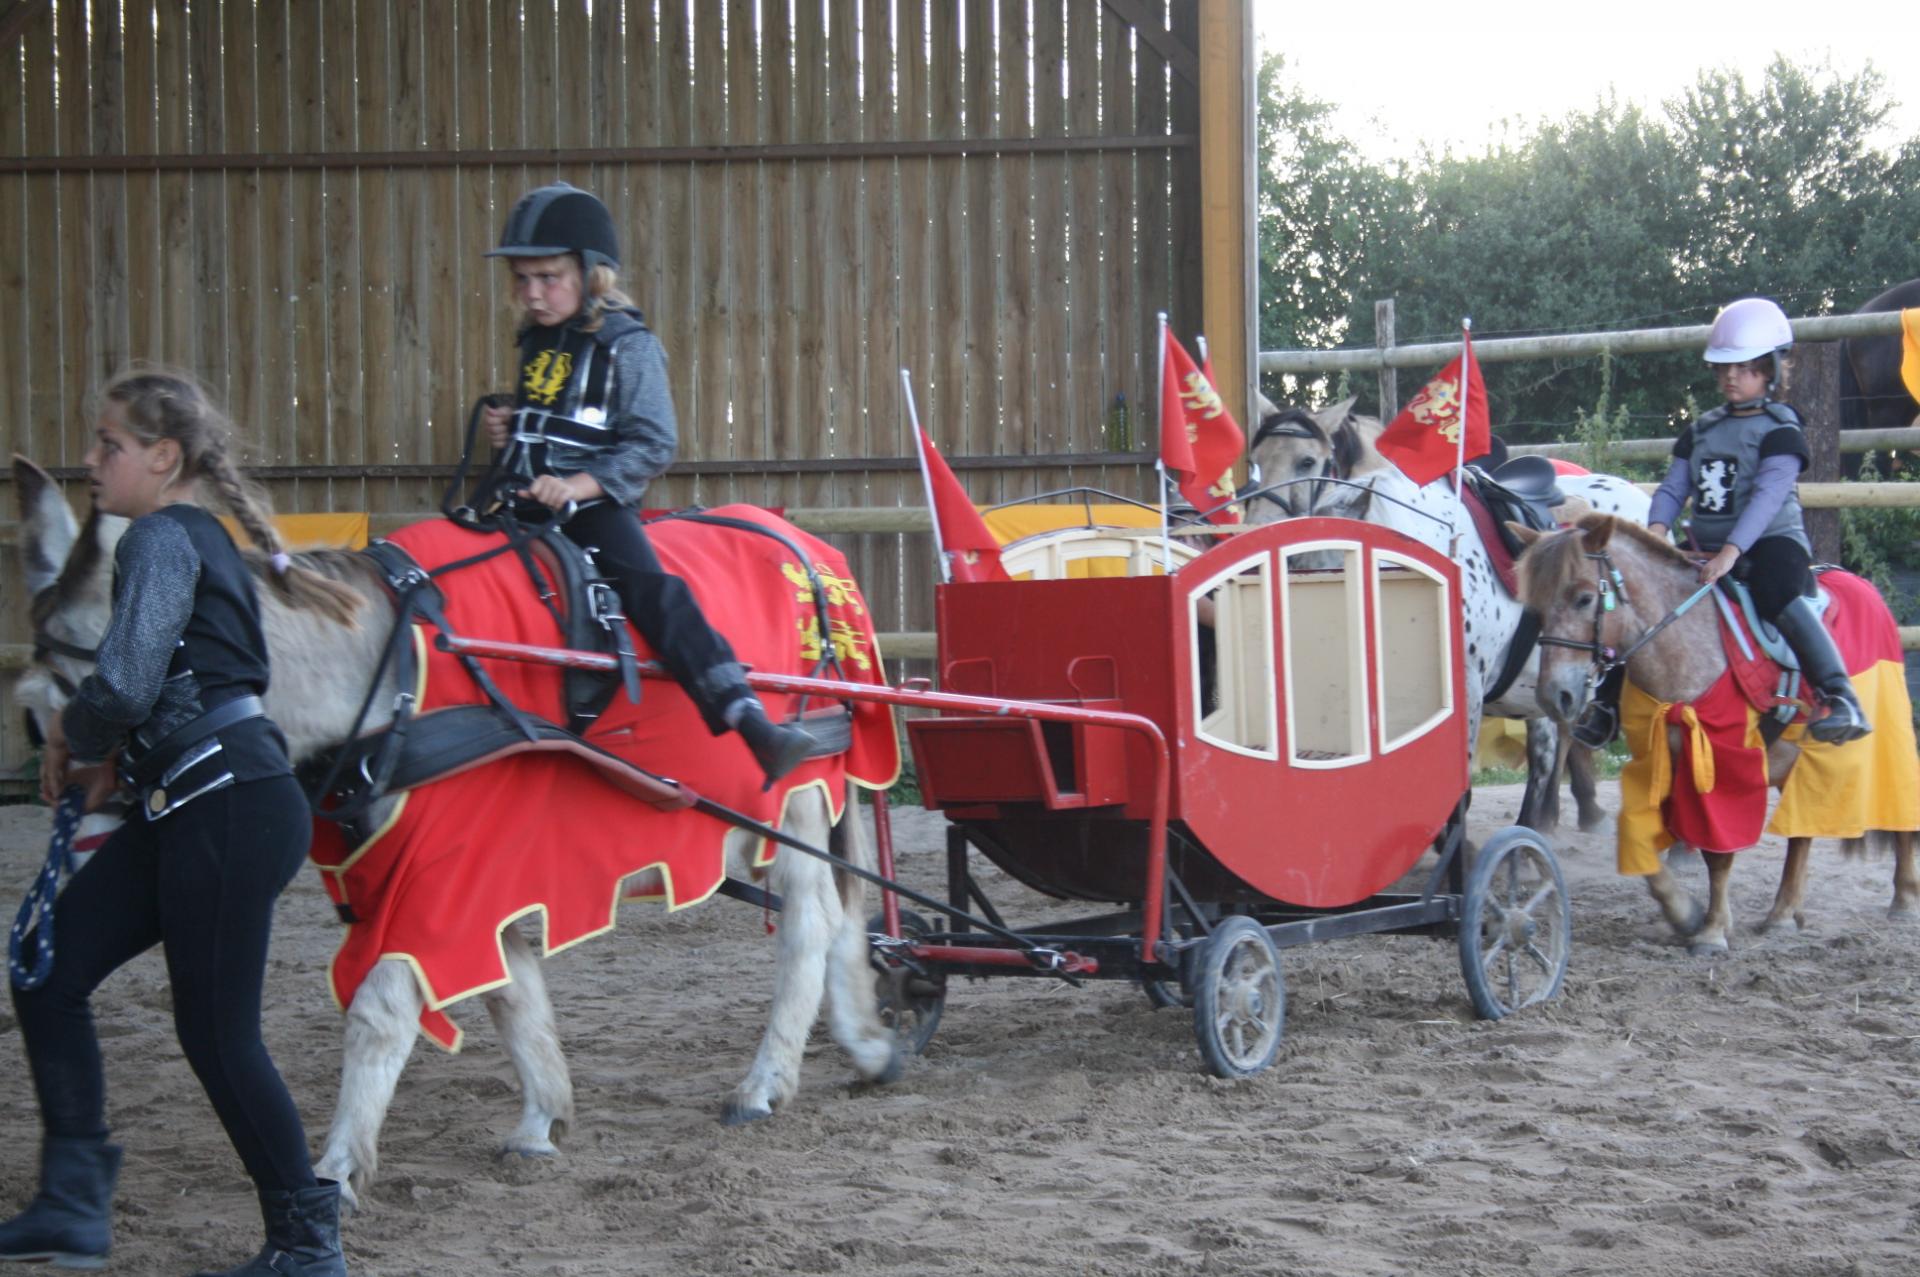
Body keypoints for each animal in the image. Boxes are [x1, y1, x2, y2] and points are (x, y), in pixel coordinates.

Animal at [13, 458, 898, 1205]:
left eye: (82, 696)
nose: (75, 812)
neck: (390, 669)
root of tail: (808, 549)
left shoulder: (448, 866)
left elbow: (385, 1003)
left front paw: (338, 1165)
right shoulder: (473, 870)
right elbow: (508, 987)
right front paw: (543, 1114)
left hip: (801, 788)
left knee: (812, 919)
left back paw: (767, 1078)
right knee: (846, 912)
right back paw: (865, 1040)